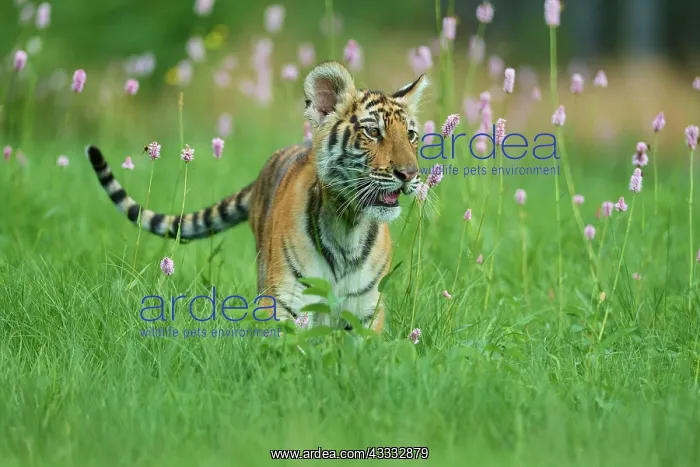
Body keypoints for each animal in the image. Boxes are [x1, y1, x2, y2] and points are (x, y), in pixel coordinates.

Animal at [86, 60, 428, 333]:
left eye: (410, 134)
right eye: (373, 132)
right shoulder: (284, 303)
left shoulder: (367, 312)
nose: (410, 174)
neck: (348, 225)